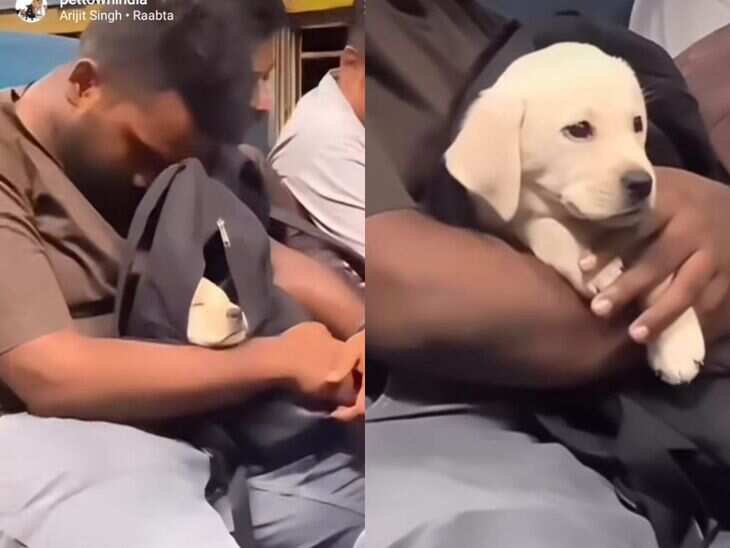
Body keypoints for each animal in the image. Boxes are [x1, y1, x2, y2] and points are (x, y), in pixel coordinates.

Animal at [445, 42, 704, 384]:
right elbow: (548, 229)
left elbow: (658, 271)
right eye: (579, 130)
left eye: (637, 124)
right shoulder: (508, 217)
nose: (643, 184)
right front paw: (595, 268)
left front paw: (678, 338)